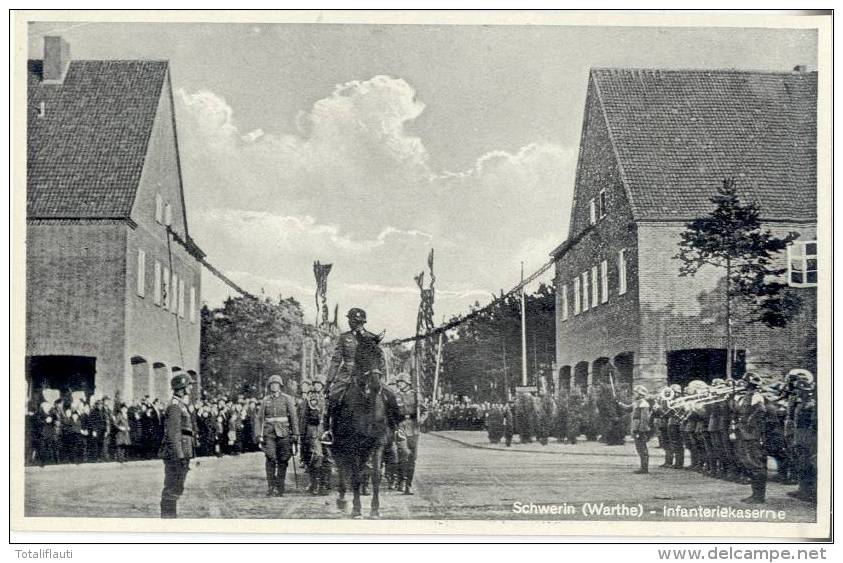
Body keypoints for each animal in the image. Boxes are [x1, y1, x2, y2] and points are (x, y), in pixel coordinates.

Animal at [328, 330, 400, 520]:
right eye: (361, 355)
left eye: (379, 355)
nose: (375, 385)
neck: (367, 404)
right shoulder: (352, 445)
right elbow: (354, 476)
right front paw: (356, 508)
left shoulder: (377, 444)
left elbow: (375, 475)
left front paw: (375, 509)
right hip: (339, 446)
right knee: (342, 468)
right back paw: (342, 499)